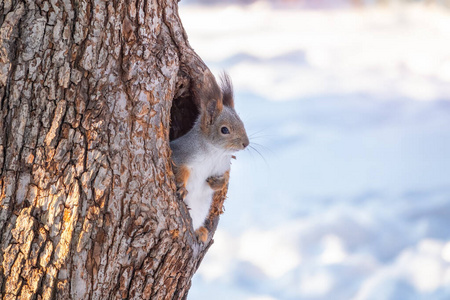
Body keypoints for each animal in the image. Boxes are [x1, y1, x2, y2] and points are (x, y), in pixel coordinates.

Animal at [170, 71, 250, 243]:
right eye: (224, 130)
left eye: (242, 123)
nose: (246, 144)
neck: (216, 153)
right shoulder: (182, 153)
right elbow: (180, 169)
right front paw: (182, 187)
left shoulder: (222, 166)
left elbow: (225, 178)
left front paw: (217, 182)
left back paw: (201, 231)